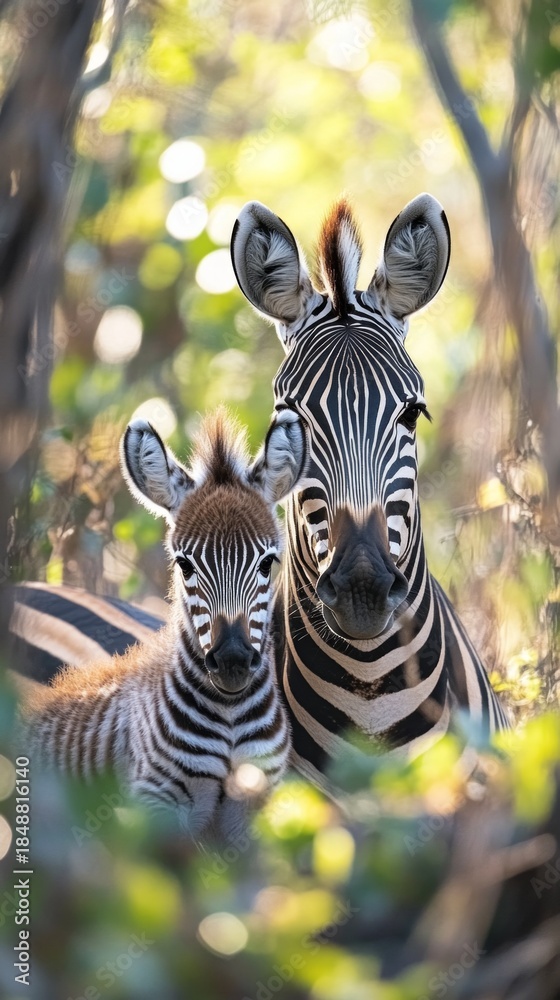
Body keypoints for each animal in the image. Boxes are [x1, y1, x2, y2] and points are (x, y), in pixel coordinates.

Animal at [17, 408, 306, 838]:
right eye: (184, 565)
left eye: (268, 563)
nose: (234, 661)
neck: (231, 716)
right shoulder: (155, 805)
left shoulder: (256, 809)